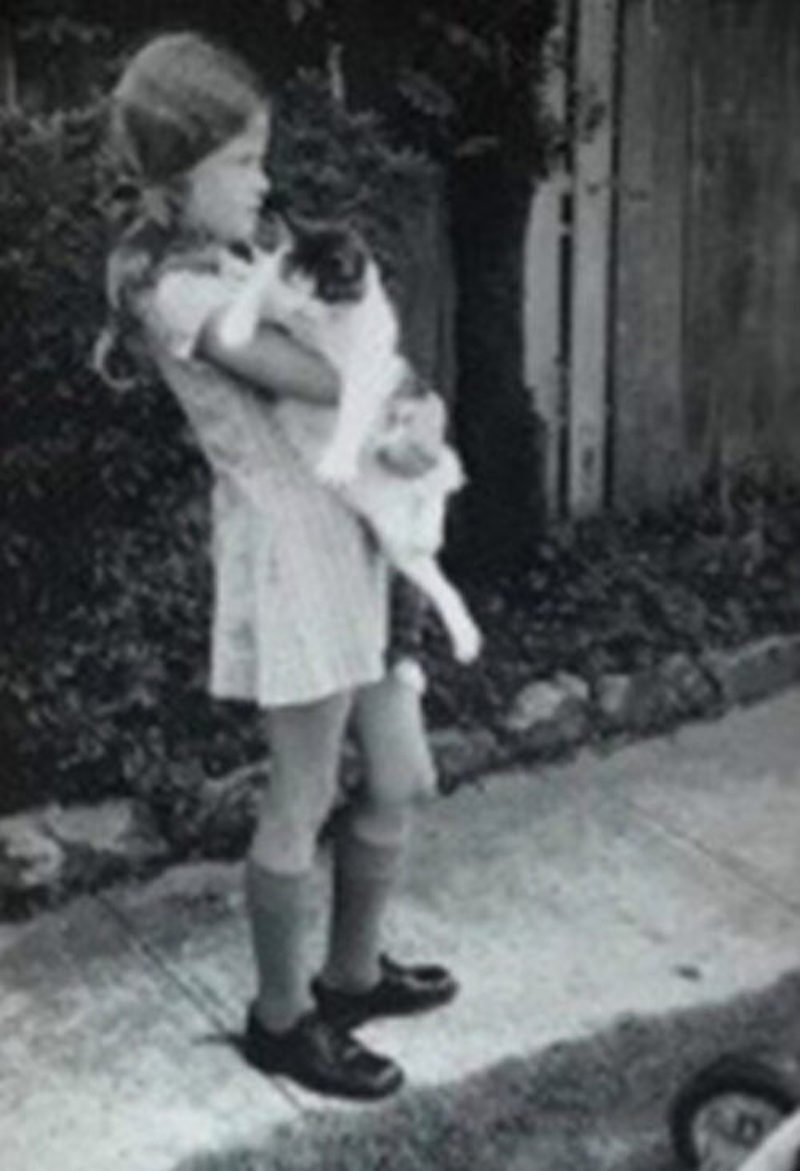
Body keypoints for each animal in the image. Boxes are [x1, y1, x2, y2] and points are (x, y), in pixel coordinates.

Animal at [219, 216, 482, 665]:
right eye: (295, 280)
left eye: (323, 289)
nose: (298, 307)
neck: (320, 328)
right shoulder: (276, 298)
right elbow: (257, 287)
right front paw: (236, 323)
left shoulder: (369, 363)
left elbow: (353, 409)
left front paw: (338, 460)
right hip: (395, 538)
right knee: (436, 578)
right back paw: (464, 637)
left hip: (420, 443)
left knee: (443, 482)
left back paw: (431, 525)